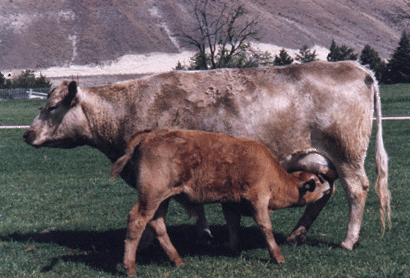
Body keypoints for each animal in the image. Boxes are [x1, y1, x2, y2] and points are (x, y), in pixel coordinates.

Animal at [109, 129, 330, 276]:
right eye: (318, 181)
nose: (329, 185)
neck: (271, 170)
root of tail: (148, 134)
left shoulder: (231, 202)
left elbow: (233, 223)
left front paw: (236, 250)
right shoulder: (258, 199)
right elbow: (265, 227)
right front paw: (278, 257)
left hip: (162, 199)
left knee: (157, 224)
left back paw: (177, 260)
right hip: (152, 195)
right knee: (137, 221)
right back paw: (130, 267)